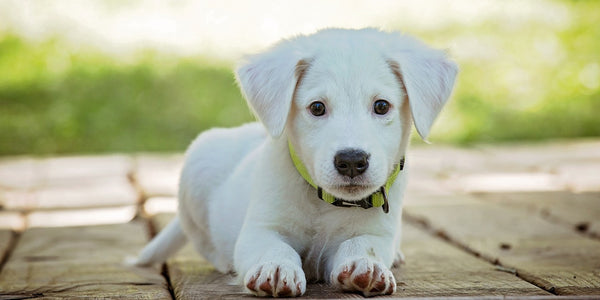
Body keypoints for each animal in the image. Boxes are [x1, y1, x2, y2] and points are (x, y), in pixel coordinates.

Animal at [135, 28, 454, 298]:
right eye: (317, 108)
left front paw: (367, 266)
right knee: (205, 243)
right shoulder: (260, 228)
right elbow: (273, 247)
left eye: (382, 106)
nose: (352, 161)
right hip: (197, 169)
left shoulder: (376, 232)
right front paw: (276, 268)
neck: (324, 202)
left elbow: (363, 244)